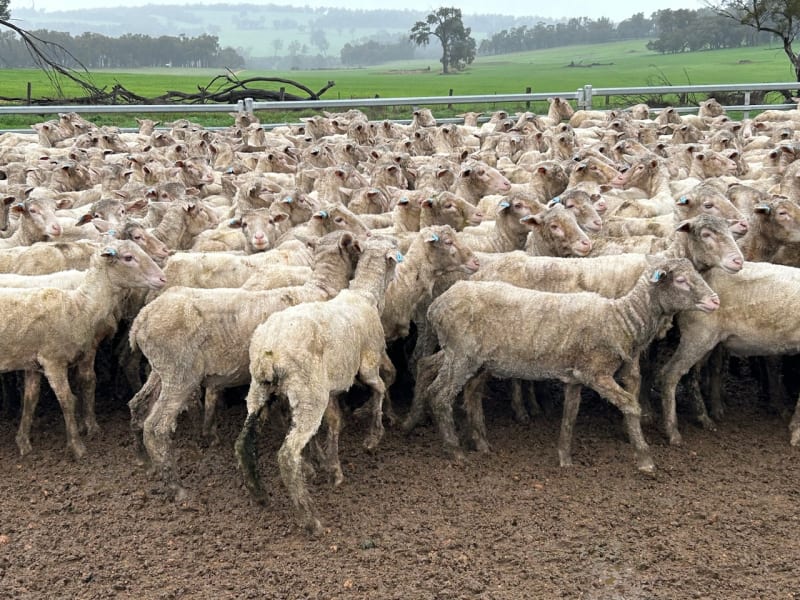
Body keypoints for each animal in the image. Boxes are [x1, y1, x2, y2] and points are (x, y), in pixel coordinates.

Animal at [5, 240, 166, 459]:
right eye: (128, 257)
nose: (162, 278)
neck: (80, 303)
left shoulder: (37, 362)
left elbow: (34, 397)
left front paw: (24, 442)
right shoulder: (58, 359)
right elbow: (75, 393)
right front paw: (81, 439)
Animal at [128, 230, 365, 499]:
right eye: (356, 245)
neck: (321, 288)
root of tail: (142, 318)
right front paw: (317, 464)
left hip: (161, 370)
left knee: (137, 405)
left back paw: (145, 461)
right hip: (180, 375)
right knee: (156, 427)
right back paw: (176, 488)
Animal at [235, 236, 401, 534]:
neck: (365, 295)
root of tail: (269, 351)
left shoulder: (332, 388)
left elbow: (335, 422)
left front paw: (331, 466)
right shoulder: (368, 363)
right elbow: (381, 388)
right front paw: (373, 435)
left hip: (262, 390)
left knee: (243, 441)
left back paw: (259, 494)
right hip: (308, 394)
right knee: (287, 455)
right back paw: (309, 518)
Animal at [409, 257, 719, 473]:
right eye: (681, 280)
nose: (715, 301)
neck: (620, 321)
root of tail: (436, 305)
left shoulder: (575, 376)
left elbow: (570, 415)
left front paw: (564, 457)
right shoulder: (596, 372)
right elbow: (631, 405)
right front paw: (645, 459)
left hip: (463, 354)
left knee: (434, 370)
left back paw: (468, 439)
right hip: (461, 355)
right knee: (440, 395)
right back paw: (455, 450)